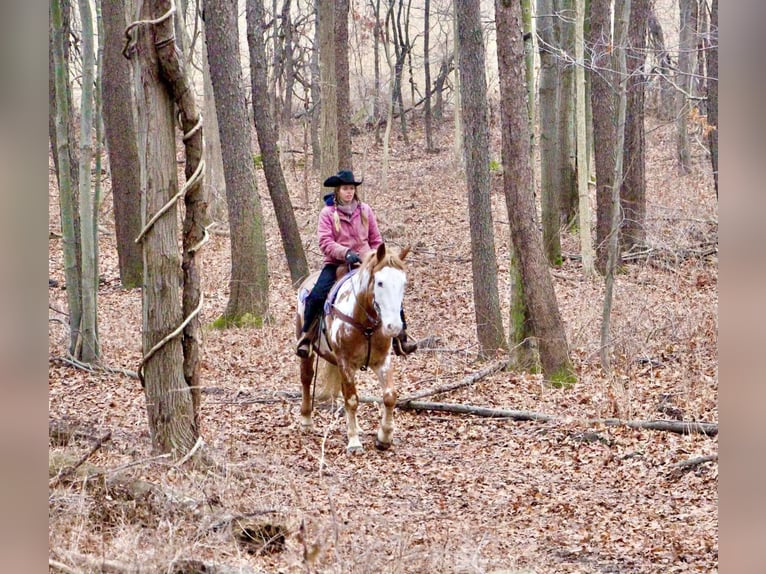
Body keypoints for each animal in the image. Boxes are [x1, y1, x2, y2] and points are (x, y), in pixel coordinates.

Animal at [296, 243, 412, 454]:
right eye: (380, 283)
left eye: (403, 283)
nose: (393, 327)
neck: (365, 324)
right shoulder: (345, 362)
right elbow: (351, 399)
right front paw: (354, 442)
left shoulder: (382, 361)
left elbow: (389, 396)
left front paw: (384, 437)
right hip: (307, 351)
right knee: (306, 379)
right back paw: (307, 420)